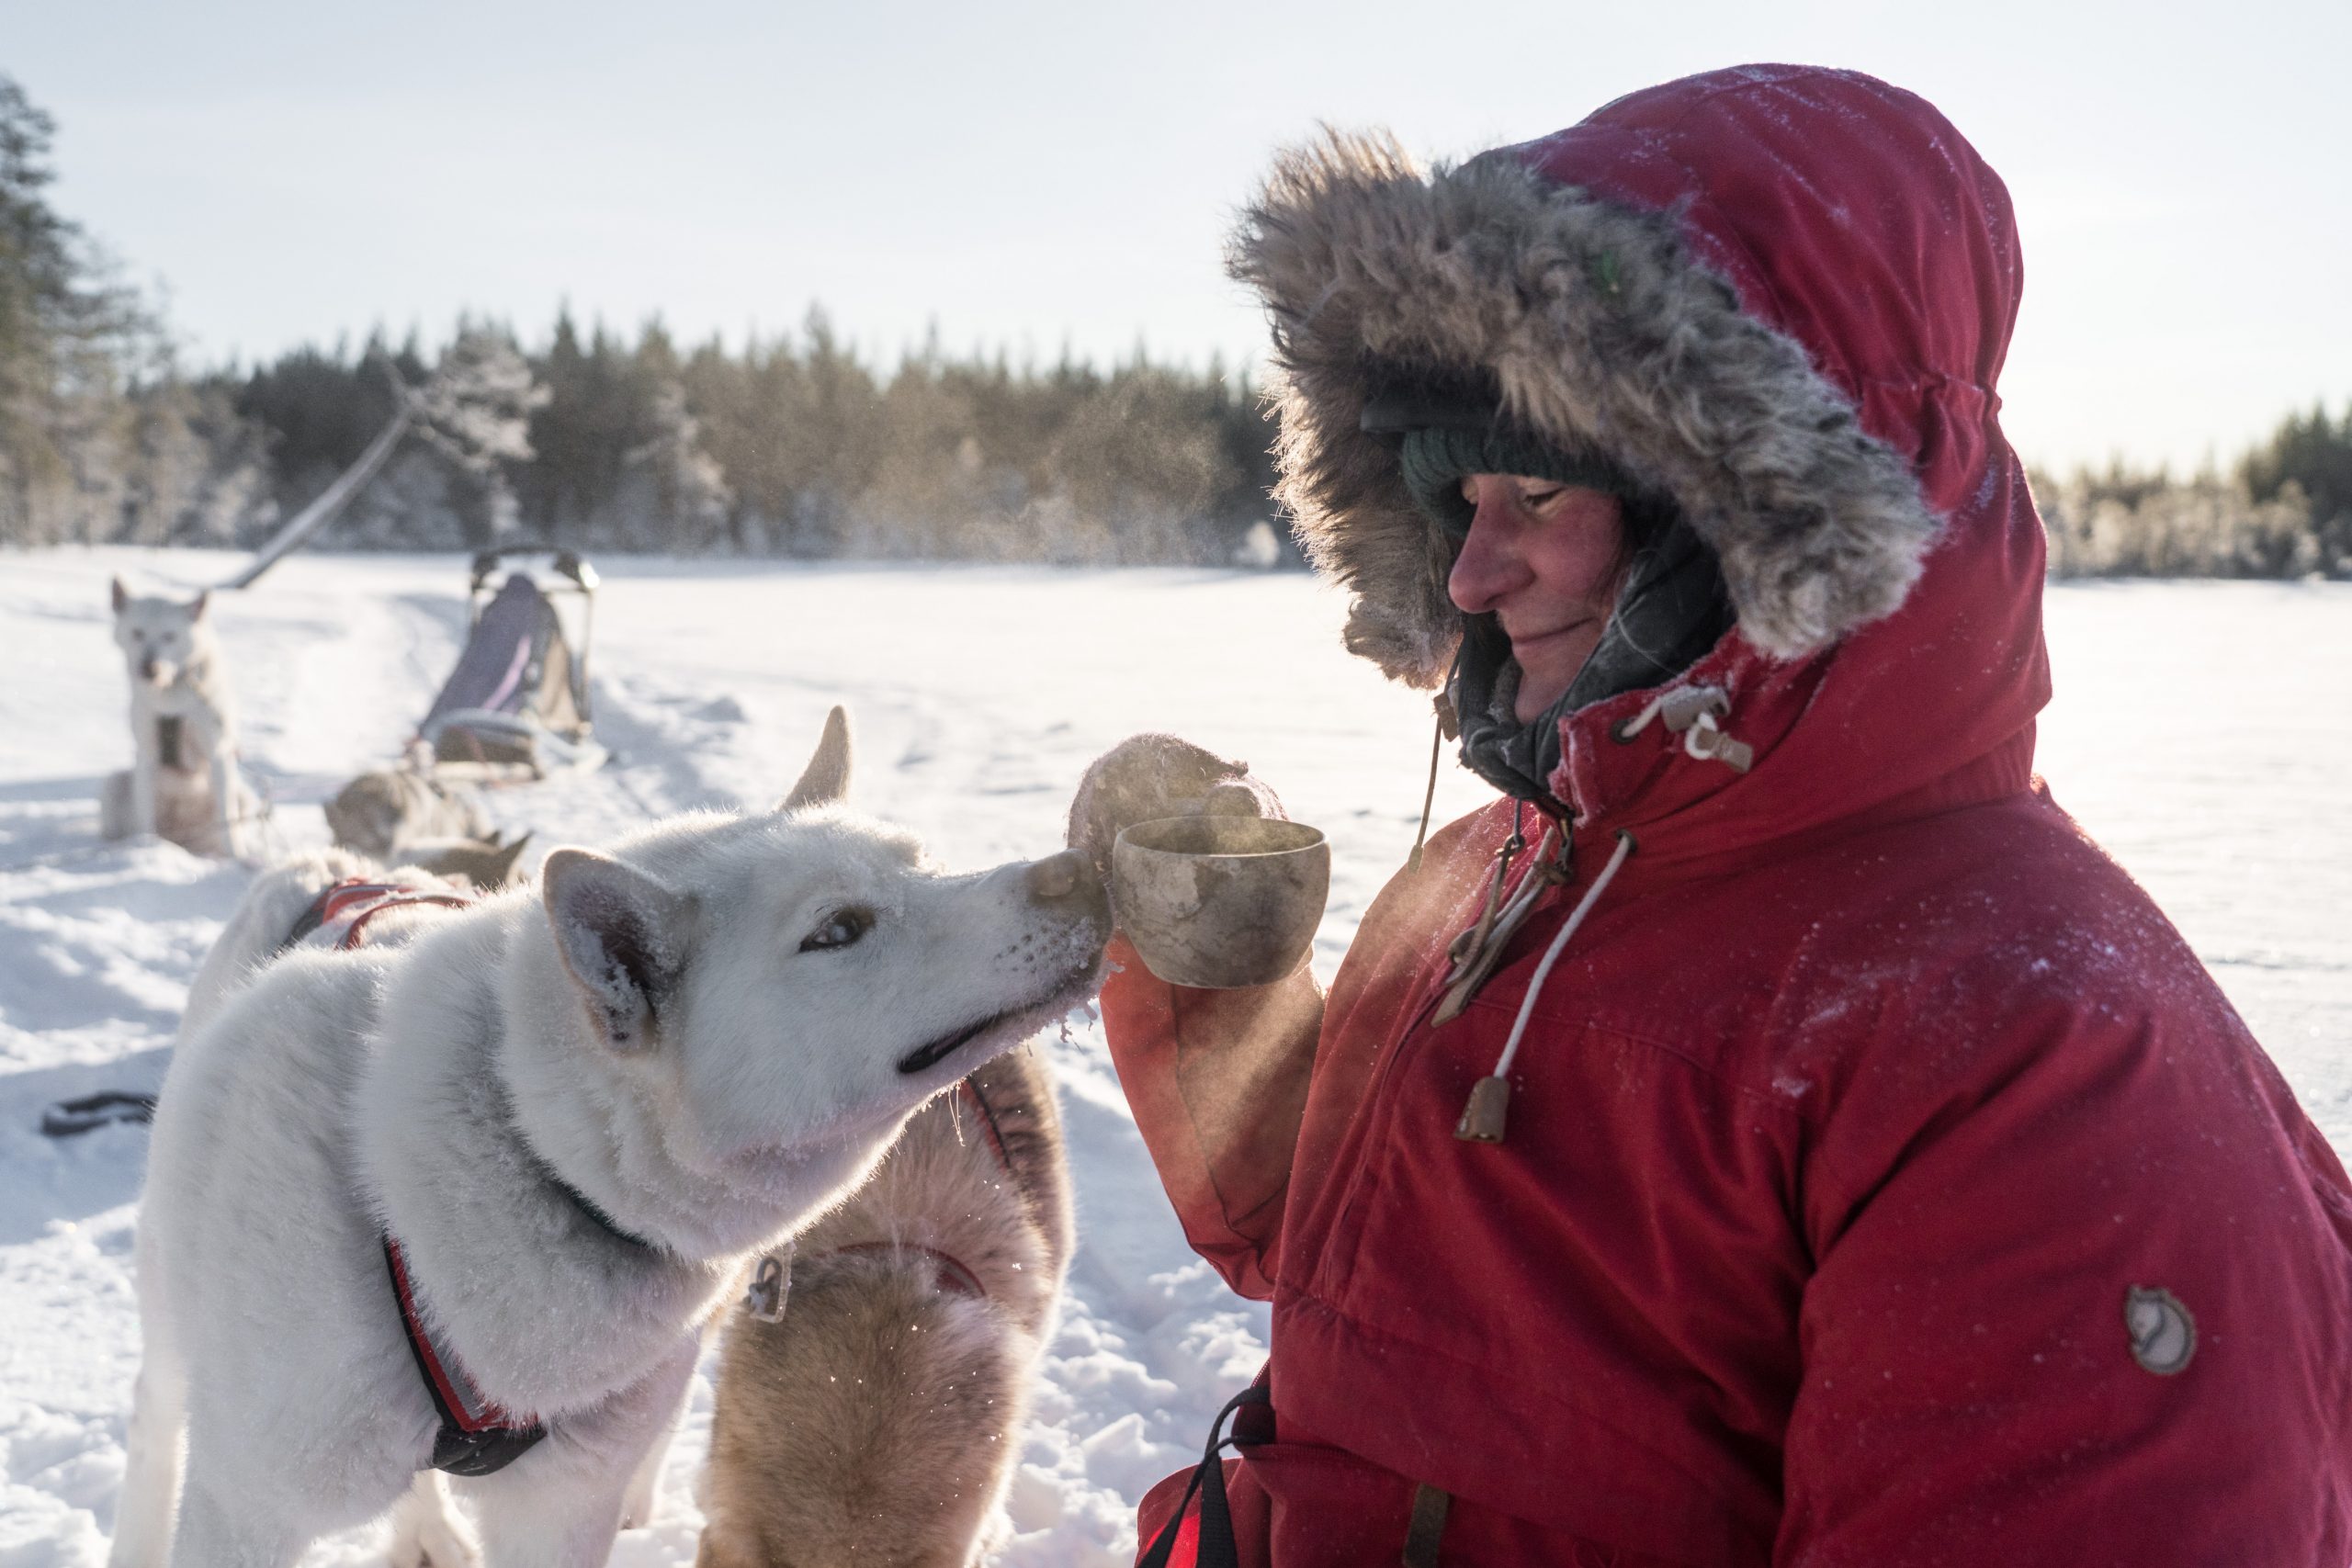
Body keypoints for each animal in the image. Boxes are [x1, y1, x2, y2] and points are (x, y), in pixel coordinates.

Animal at [102, 582, 261, 864]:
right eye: (138, 632)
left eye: (169, 636)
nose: (149, 668)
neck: (171, 698)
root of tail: (181, 834)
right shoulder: (146, 754)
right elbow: (145, 814)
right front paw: (145, 846)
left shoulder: (218, 752)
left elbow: (227, 819)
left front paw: (237, 857)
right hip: (112, 785)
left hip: (243, 795)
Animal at [106, 715, 1105, 1568]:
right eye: (837, 930)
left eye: (924, 861)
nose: (1081, 869)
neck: (532, 1155)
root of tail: (338, 867)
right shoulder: (249, 1510)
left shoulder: (562, 1510)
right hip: (175, 1336)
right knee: (155, 1431)